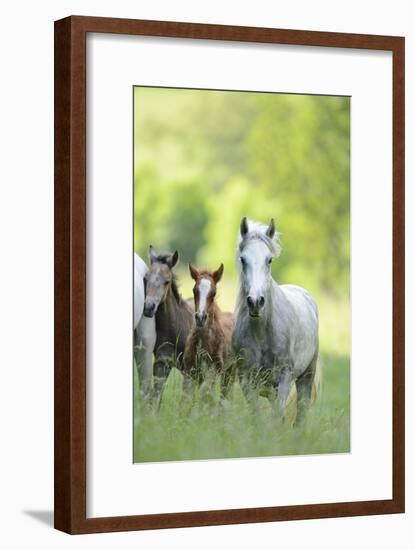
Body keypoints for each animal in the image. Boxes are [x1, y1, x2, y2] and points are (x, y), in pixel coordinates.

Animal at [184, 266, 236, 404]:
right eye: (194, 290)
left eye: (213, 293)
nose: (200, 318)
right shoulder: (190, 371)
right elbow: (187, 397)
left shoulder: (214, 370)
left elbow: (205, 393)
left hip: (230, 372)